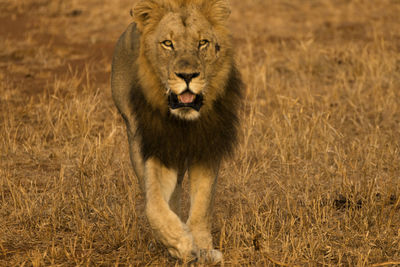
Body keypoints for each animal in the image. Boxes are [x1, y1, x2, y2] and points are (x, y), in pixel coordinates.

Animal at [110, 0, 241, 264]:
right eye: (168, 43)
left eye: (203, 42)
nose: (187, 76)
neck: (184, 121)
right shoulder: (158, 146)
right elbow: (154, 205)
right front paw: (180, 244)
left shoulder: (207, 148)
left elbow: (202, 204)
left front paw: (202, 248)